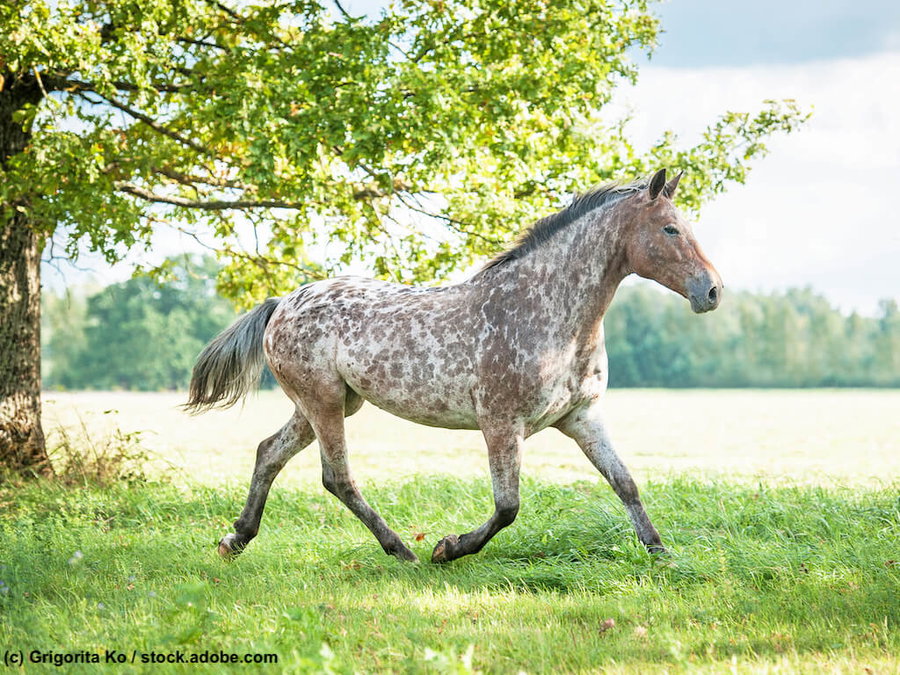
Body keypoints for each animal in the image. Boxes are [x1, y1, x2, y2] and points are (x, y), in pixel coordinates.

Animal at [186, 168, 722, 563]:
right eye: (670, 229)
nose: (712, 291)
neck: (548, 314)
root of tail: (281, 303)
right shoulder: (502, 424)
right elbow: (508, 506)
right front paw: (448, 549)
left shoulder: (580, 418)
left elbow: (625, 482)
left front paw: (660, 553)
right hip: (324, 404)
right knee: (336, 478)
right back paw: (401, 550)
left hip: (329, 404)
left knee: (268, 453)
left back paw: (236, 539)